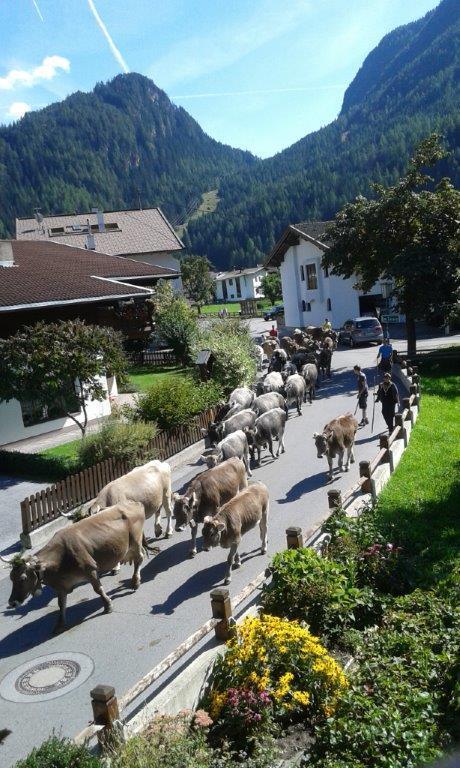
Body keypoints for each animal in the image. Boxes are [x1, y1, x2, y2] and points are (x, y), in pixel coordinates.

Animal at [6, 500, 148, 632]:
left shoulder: (90, 569)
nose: (12, 602)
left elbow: (98, 589)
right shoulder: (61, 585)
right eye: (11, 578)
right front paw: (60, 624)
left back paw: (135, 582)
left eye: (23, 578)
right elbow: (61, 603)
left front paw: (108, 606)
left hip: (135, 541)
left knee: (139, 559)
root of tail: (134, 502)